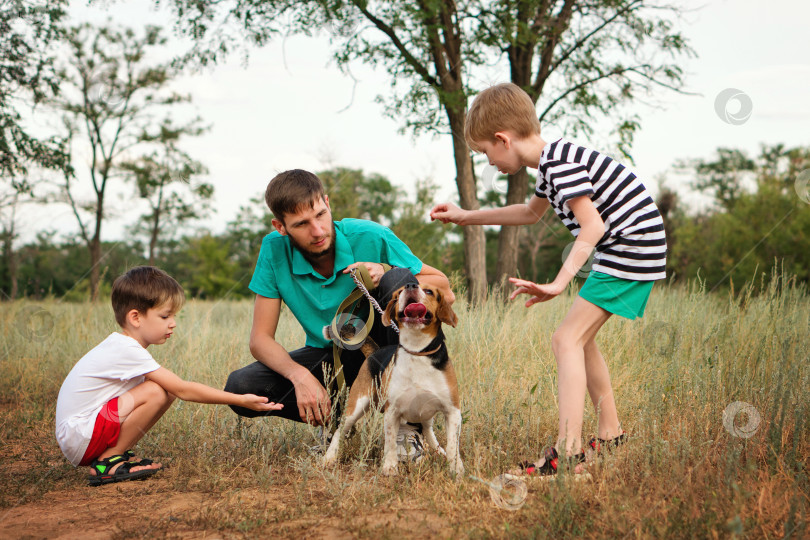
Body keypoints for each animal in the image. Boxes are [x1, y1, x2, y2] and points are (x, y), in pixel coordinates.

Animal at [322, 282, 460, 476]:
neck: (417, 351)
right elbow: (390, 441)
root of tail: (375, 352)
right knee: (339, 431)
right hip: (356, 406)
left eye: (429, 291)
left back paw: (438, 450)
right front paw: (390, 466)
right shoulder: (392, 411)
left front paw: (456, 468)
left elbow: (453, 444)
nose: (410, 285)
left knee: (427, 429)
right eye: (399, 292)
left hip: (426, 411)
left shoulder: (453, 411)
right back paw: (329, 457)